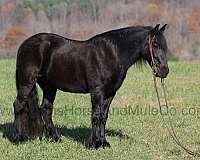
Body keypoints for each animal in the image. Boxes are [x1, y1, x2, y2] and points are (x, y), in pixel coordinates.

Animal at [12, 24, 169, 149]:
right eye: (154, 44)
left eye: (164, 45)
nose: (164, 71)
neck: (112, 54)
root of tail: (24, 44)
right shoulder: (97, 92)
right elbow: (96, 116)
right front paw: (94, 143)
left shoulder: (110, 93)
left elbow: (104, 117)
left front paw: (103, 142)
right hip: (27, 82)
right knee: (18, 105)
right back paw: (18, 138)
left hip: (49, 87)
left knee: (46, 109)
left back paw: (54, 138)